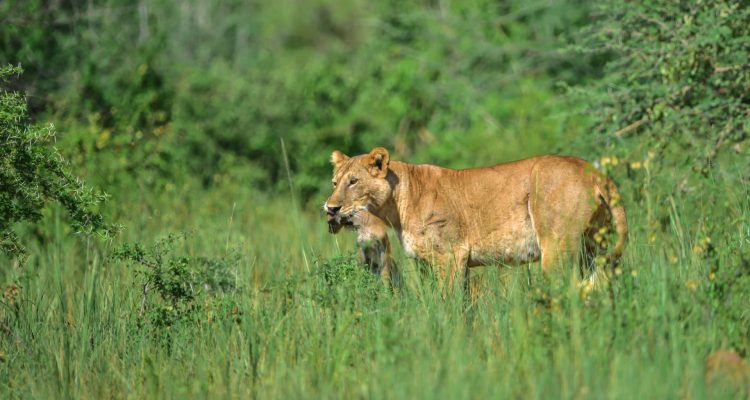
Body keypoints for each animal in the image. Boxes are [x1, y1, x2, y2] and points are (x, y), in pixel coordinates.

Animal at [325, 147, 628, 290]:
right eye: (335, 183)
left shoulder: (450, 255)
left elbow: (446, 301)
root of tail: (595, 171)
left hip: (557, 245)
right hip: (592, 248)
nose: (331, 208)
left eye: (353, 182)